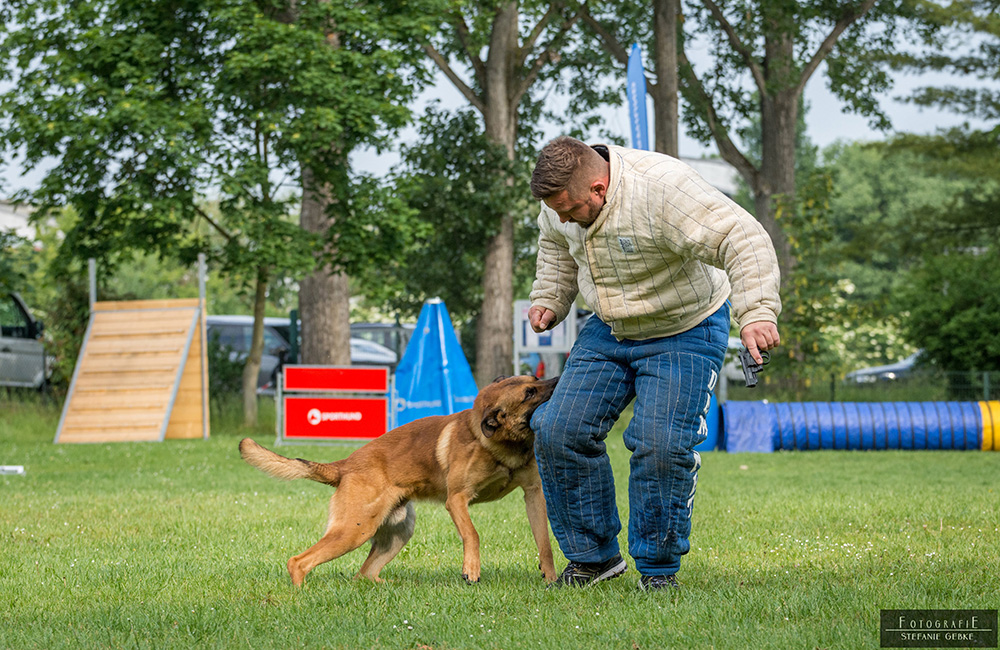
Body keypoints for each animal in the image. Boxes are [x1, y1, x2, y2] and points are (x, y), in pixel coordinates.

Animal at [239, 372, 560, 584]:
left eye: (535, 377)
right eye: (529, 393)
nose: (559, 378)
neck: (500, 444)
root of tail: (344, 466)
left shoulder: (533, 494)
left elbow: (544, 541)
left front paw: (550, 577)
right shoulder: (457, 500)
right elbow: (473, 534)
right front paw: (471, 569)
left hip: (396, 533)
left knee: (364, 574)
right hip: (353, 532)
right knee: (299, 562)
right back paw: (298, 595)